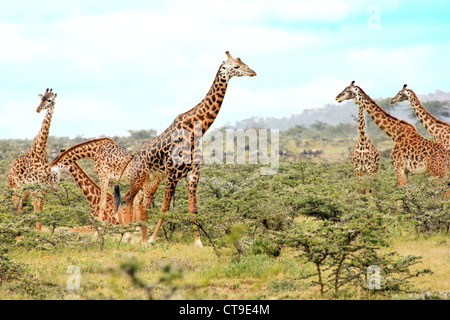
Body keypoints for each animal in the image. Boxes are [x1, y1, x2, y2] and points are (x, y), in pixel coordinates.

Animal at [8, 88, 59, 230]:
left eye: (49, 100)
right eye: (41, 99)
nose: (37, 109)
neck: (40, 151)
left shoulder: (43, 188)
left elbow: (39, 211)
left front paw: (39, 232)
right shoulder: (33, 187)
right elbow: (36, 211)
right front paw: (37, 233)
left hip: (24, 190)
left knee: (20, 207)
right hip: (16, 187)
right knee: (16, 207)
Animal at [115, 50, 256, 245]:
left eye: (244, 63)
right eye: (236, 66)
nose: (253, 72)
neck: (196, 130)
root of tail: (134, 155)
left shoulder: (193, 175)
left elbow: (193, 209)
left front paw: (198, 242)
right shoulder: (173, 174)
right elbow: (165, 208)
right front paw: (153, 239)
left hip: (153, 179)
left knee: (144, 203)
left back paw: (141, 239)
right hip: (139, 174)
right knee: (129, 197)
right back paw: (129, 236)